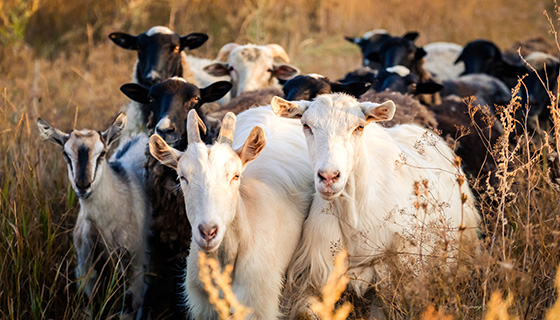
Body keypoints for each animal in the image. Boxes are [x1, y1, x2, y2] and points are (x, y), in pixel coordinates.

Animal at [37, 112, 151, 318]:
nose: (83, 185)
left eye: (102, 153)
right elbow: (88, 306)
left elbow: (129, 307)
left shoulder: (135, 265)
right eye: (66, 154)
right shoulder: (86, 266)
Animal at [272, 94, 482, 318]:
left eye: (359, 127)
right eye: (306, 125)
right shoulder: (316, 275)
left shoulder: (390, 278)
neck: (354, 218)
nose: (328, 177)